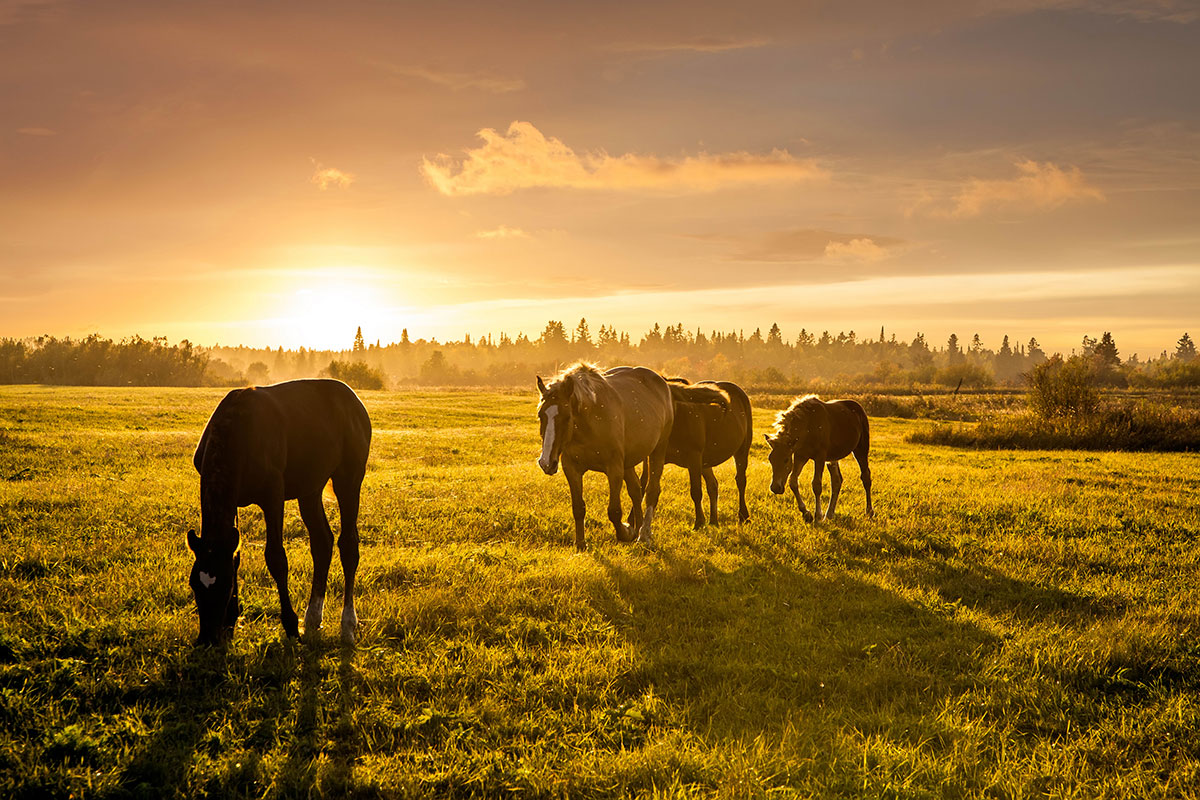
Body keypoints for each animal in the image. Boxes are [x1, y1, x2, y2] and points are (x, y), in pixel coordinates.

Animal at [187, 379, 369, 647]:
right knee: (322, 542)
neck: (237, 431)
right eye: (194, 585)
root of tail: (353, 400)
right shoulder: (232, 503)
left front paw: (291, 625)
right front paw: (231, 623)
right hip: (310, 488)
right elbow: (236, 555)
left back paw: (347, 626)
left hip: (349, 478)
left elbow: (276, 558)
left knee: (348, 545)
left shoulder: (273, 495)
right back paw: (313, 618)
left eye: (225, 586)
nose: (207, 638)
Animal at [535, 362, 676, 551]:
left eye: (567, 417)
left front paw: (626, 532)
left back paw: (643, 534)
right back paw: (638, 526)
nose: (546, 462)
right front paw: (581, 544)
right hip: (628, 463)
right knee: (635, 489)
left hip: (658, 451)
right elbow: (578, 508)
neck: (590, 422)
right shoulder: (572, 469)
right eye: (540, 415)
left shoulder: (614, 469)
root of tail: (661, 382)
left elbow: (614, 511)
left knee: (651, 491)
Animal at [657, 379, 748, 527]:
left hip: (742, 451)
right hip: (705, 462)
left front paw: (699, 522)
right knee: (713, 485)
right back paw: (714, 520)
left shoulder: (694, 457)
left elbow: (696, 491)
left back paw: (743, 516)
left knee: (741, 480)